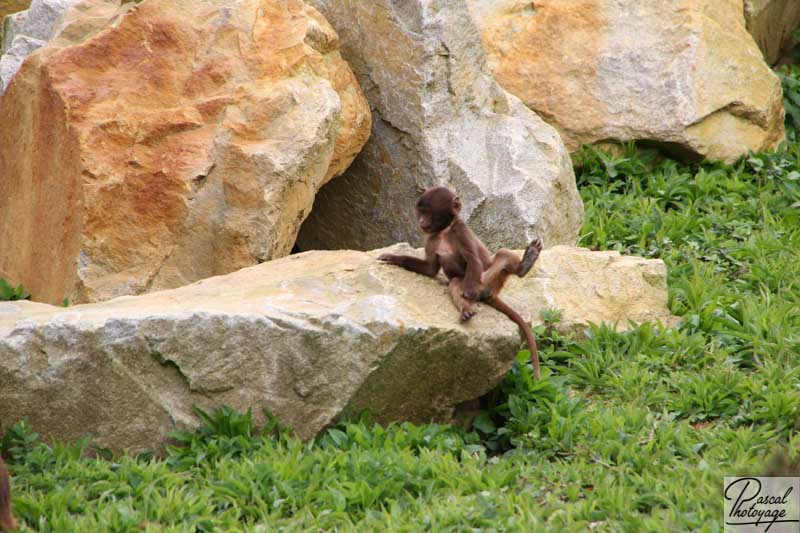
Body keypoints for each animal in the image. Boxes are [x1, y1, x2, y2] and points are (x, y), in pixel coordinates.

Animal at [380, 187, 544, 378]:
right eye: (421, 211)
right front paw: (393, 258)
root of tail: (489, 294)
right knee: (455, 283)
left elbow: (473, 259)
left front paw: (469, 292)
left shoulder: (461, 230)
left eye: (427, 212)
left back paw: (524, 264)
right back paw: (466, 310)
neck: (445, 231)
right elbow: (429, 268)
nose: (420, 221)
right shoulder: (431, 237)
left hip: (488, 279)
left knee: (501, 254)